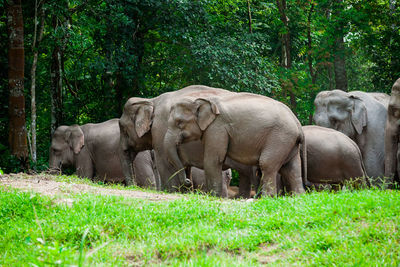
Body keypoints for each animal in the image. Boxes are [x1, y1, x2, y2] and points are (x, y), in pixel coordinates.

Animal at [164, 93, 304, 198]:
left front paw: (214, 197)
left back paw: (267, 198)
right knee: (292, 168)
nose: (188, 182)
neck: (204, 100)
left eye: (179, 122)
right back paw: (299, 197)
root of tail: (298, 124)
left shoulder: (217, 128)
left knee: (267, 164)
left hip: (280, 137)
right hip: (289, 142)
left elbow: (213, 160)